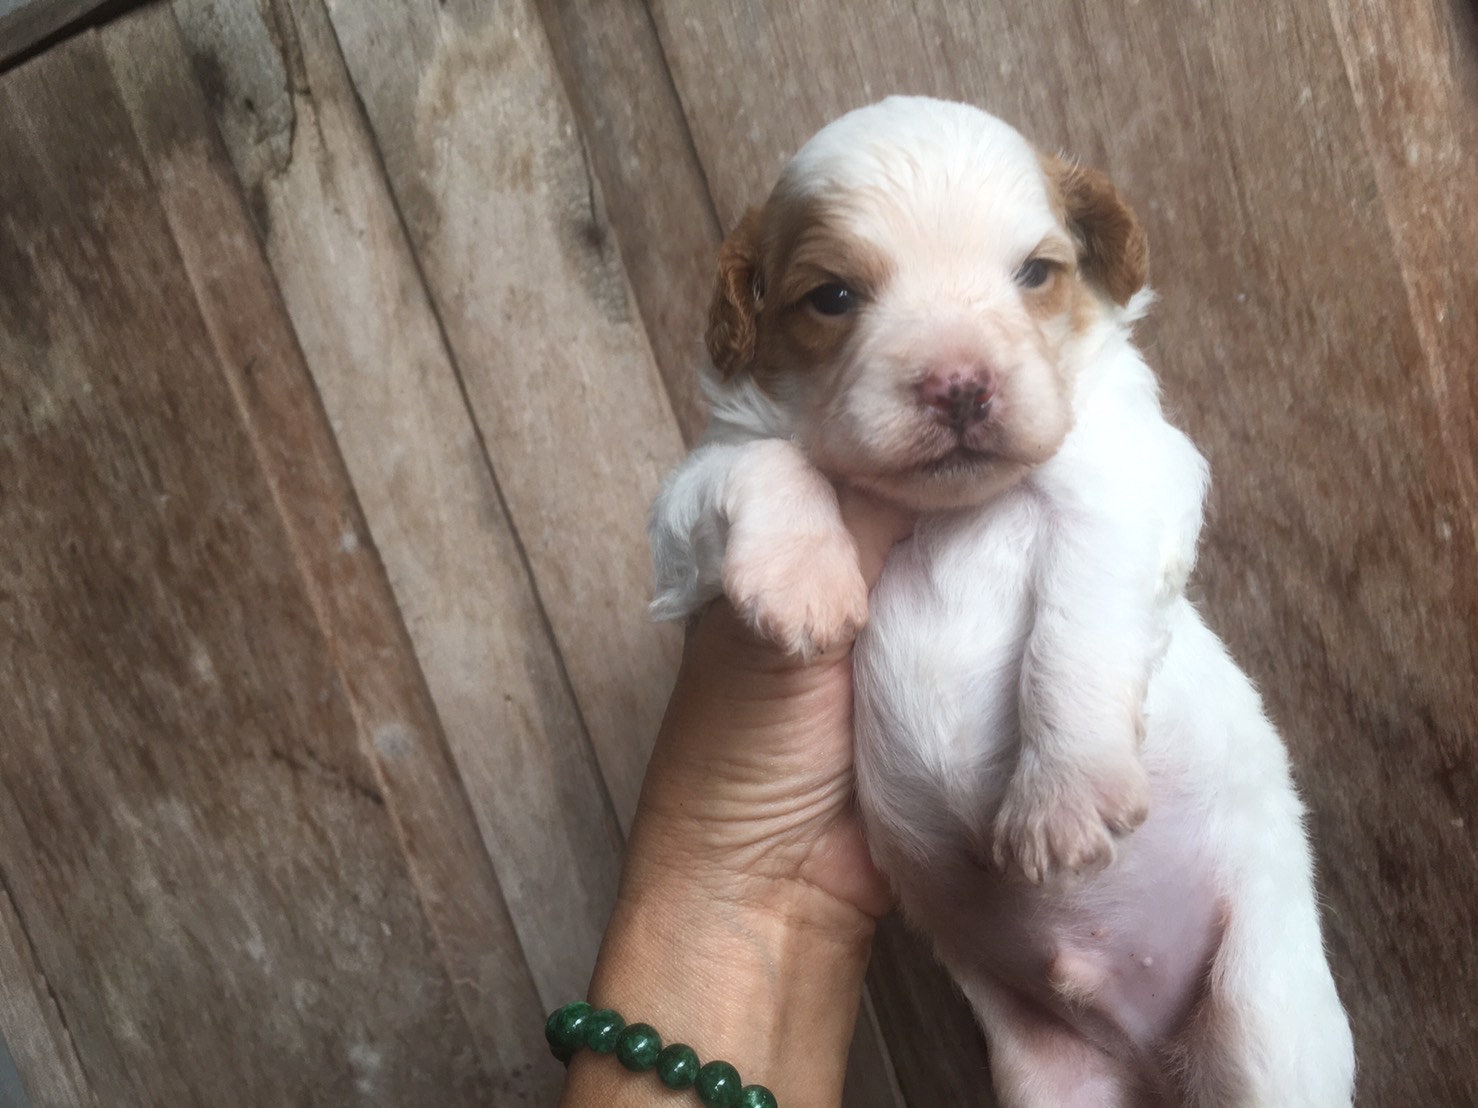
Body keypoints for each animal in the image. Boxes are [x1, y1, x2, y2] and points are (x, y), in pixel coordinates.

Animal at [649, 96, 1354, 1106]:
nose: (959, 385)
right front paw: (803, 578)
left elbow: (1074, 629)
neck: (950, 511)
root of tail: (1153, 1057)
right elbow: (760, 463)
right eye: (833, 298)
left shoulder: (1127, 481)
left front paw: (1060, 797)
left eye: (1035, 274)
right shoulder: (688, 514)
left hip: (1261, 1018)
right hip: (1046, 1079)